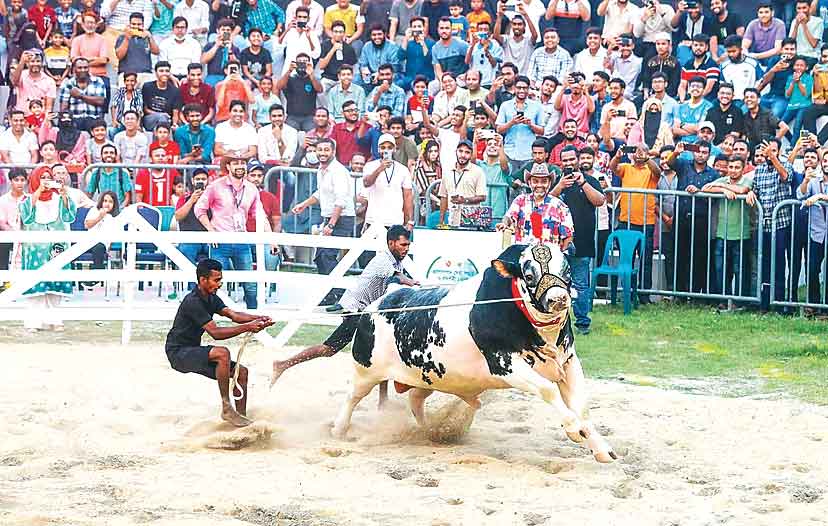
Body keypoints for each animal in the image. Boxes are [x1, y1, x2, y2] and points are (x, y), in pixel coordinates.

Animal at [334, 241, 616, 464]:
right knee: (351, 397)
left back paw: (428, 431)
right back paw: (339, 430)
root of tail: (377, 303)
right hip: (366, 370)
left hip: (430, 375)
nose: (558, 299)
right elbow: (548, 390)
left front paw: (602, 449)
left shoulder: (568, 362)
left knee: (415, 399)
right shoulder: (504, 364)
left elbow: (583, 407)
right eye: (528, 274)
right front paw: (574, 429)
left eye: (566, 270)